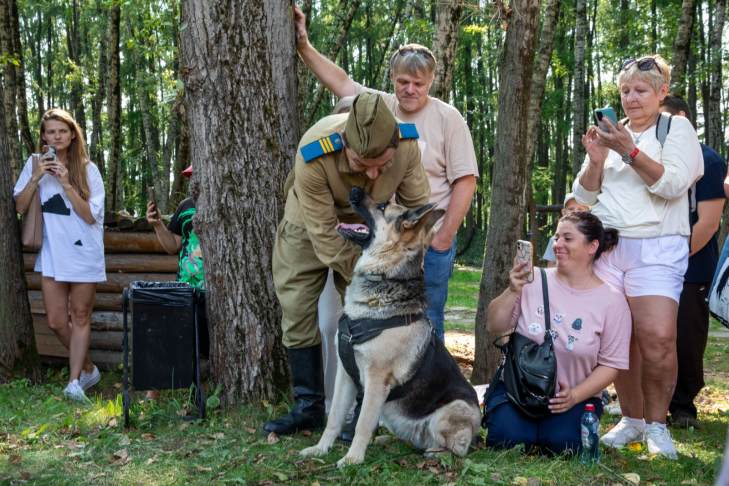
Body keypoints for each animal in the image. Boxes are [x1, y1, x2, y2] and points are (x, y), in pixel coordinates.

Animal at [298, 187, 480, 468]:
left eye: (383, 206)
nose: (354, 190)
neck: (384, 277)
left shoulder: (376, 380)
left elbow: (362, 423)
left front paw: (352, 459)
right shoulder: (345, 375)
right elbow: (335, 417)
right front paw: (320, 449)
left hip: (452, 410)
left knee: (457, 449)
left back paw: (436, 453)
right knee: (412, 439)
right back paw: (388, 441)